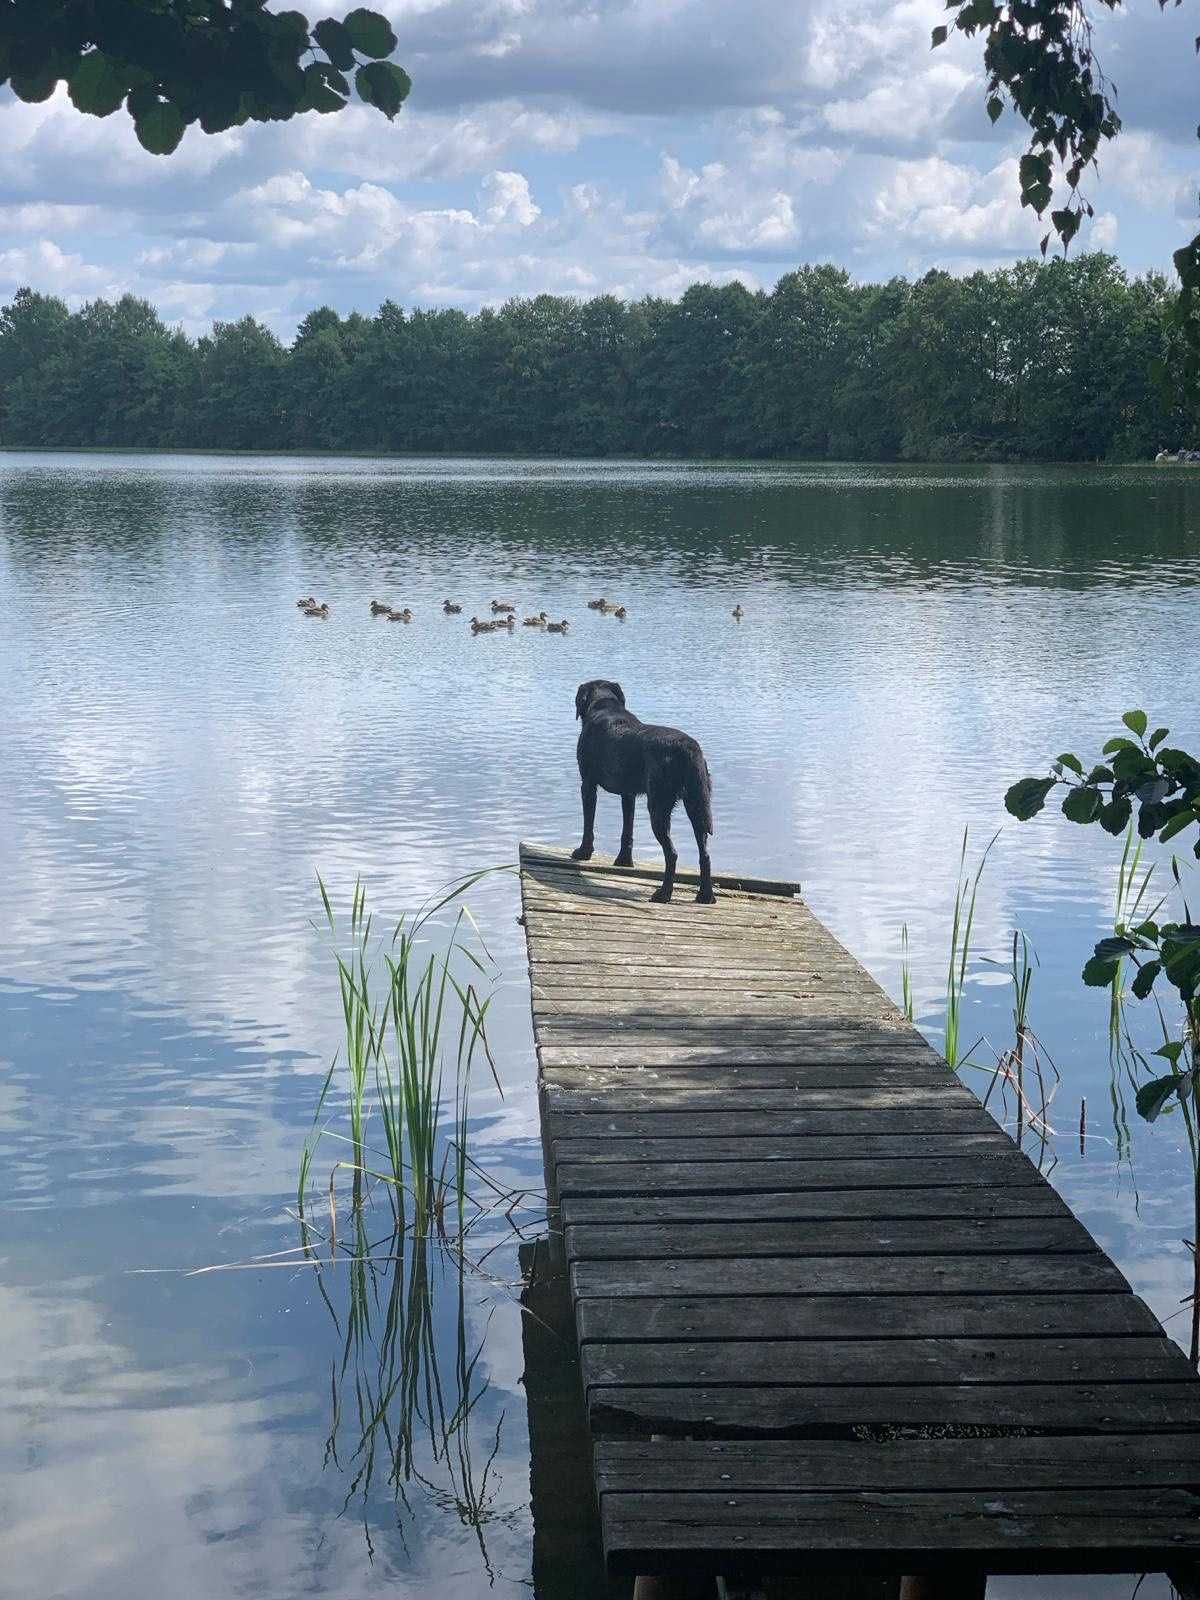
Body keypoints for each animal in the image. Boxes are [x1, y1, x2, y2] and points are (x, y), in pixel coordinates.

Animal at [572, 675, 713, 902]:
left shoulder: (588, 784)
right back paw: (705, 896)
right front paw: (624, 860)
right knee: (705, 853)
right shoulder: (628, 794)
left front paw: (583, 852)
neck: (604, 705)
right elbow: (627, 830)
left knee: (672, 853)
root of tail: (688, 746)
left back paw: (664, 894)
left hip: (658, 806)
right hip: (697, 803)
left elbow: (588, 823)